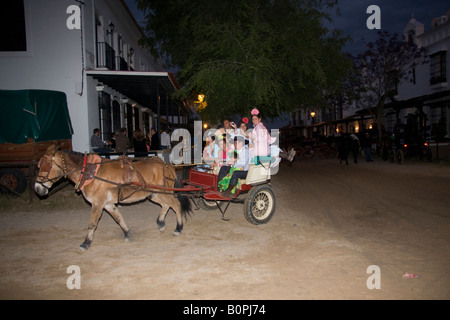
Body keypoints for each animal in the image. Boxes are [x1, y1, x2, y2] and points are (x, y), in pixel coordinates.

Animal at [34, 144, 191, 251]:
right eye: (38, 166)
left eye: (45, 166)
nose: (37, 188)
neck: (91, 173)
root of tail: (165, 164)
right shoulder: (107, 204)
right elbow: (118, 218)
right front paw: (127, 233)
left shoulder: (97, 203)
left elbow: (92, 224)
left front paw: (86, 243)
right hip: (153, 193)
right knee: (166, 205)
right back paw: (161, 223)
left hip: (163, 192)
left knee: (176, 205)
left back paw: (178, 228)